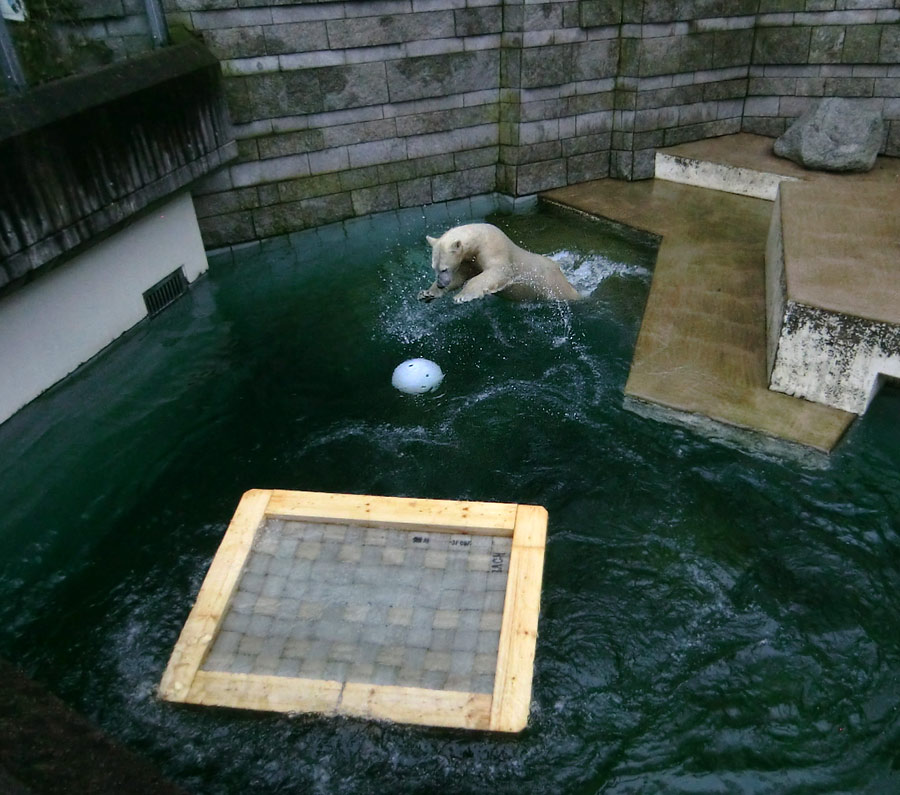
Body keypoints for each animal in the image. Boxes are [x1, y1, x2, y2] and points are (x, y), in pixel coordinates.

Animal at [416, 224, 580, 304]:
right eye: (434, 268)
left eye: (444, 269)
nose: (440, 284)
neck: (480, 237)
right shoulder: (468, 261)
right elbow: (459, 276)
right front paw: (427, 293)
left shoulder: (494, 248)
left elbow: (498, 271)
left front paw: (462, 296)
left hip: (553, 285)